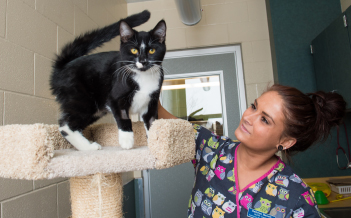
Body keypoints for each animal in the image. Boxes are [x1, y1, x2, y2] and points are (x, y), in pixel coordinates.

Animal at [50, 10, 168, 150]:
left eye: (152, 50)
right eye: (134, 50)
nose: (143, 61)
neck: (143, 76)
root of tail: (64, 66)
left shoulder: (151, 102)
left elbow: (152, 122)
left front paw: (155, 145)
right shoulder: (115, 98)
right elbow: (124, 117)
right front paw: (127, 141)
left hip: (96, 109)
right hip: (82, 99)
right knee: (65, 125)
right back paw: (89, 147)